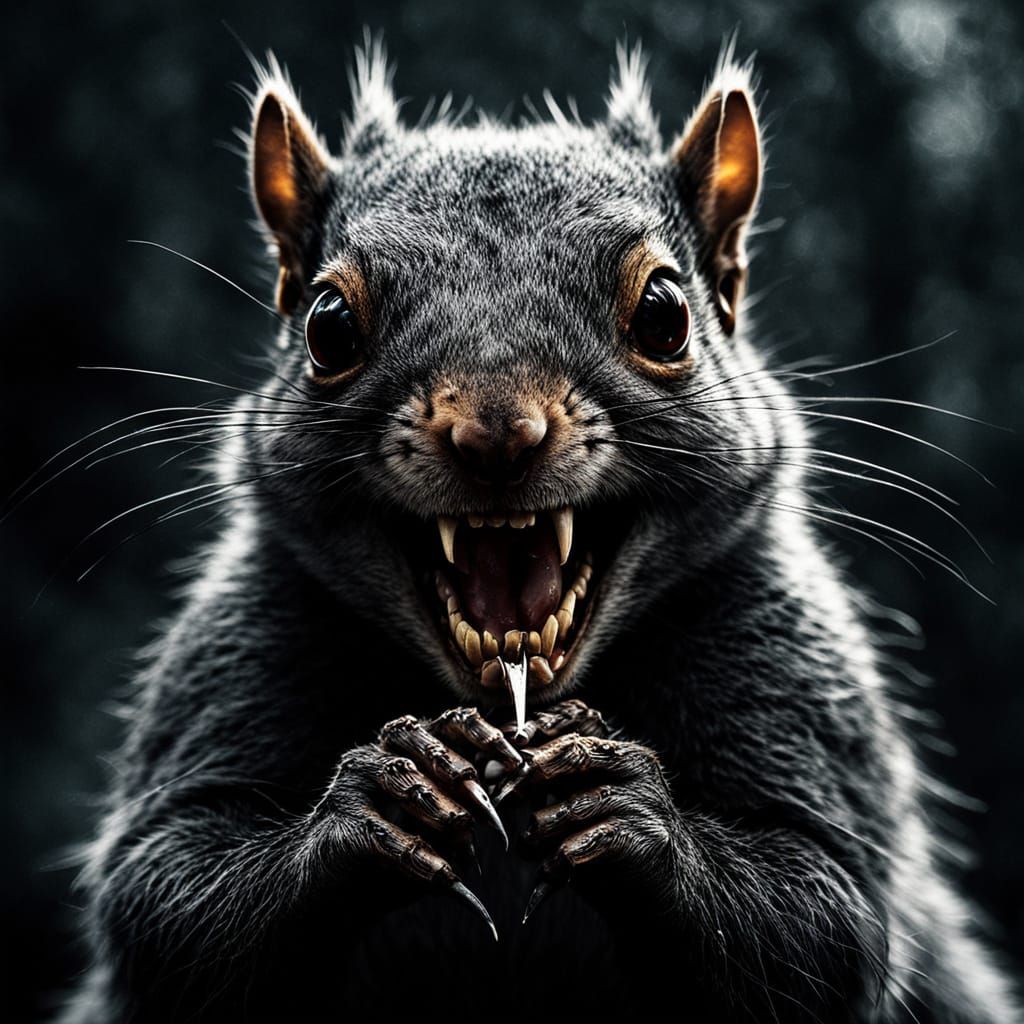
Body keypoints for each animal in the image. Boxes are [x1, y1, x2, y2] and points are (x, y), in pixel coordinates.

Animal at [58, 41, 1018, 1022]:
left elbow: (821, 911)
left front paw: (623, 801)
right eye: (327, 326)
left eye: (666, 314)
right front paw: (384, 797)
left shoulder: (790, 664)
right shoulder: (240, 651)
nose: (496, 435)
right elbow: (170, 898)